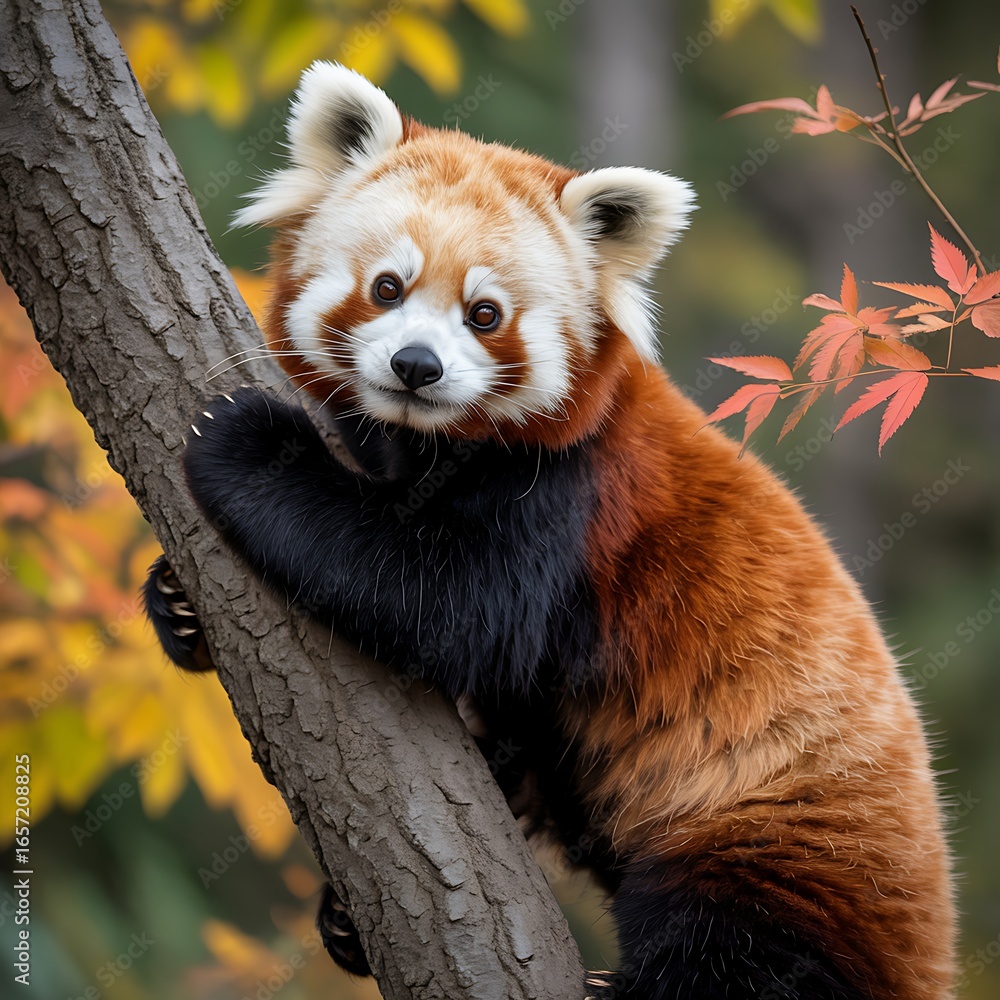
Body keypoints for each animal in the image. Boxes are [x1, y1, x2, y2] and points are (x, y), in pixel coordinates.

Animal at [143, 62, 956, 999]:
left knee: (744, 944)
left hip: (785, 834)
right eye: (387, 287)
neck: (430, 442)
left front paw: (247, 442)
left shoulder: (571, 503)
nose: (415, 367)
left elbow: (446, 605)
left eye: (484, 314)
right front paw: (174, 600)